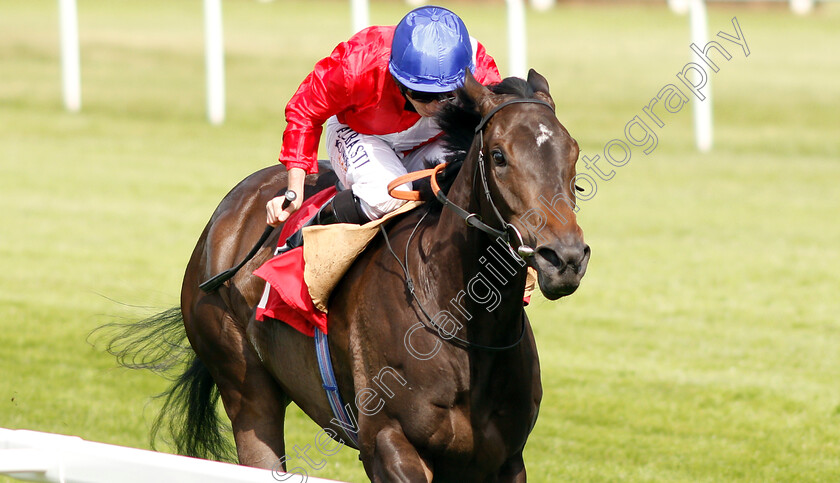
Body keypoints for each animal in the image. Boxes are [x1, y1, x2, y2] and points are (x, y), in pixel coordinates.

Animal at [106, 70, 592, 482]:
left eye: (573, 153)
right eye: (498, 156)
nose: (564, 257)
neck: (458, 319)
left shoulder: (502, 460)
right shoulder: (389, 444)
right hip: (245, 386)